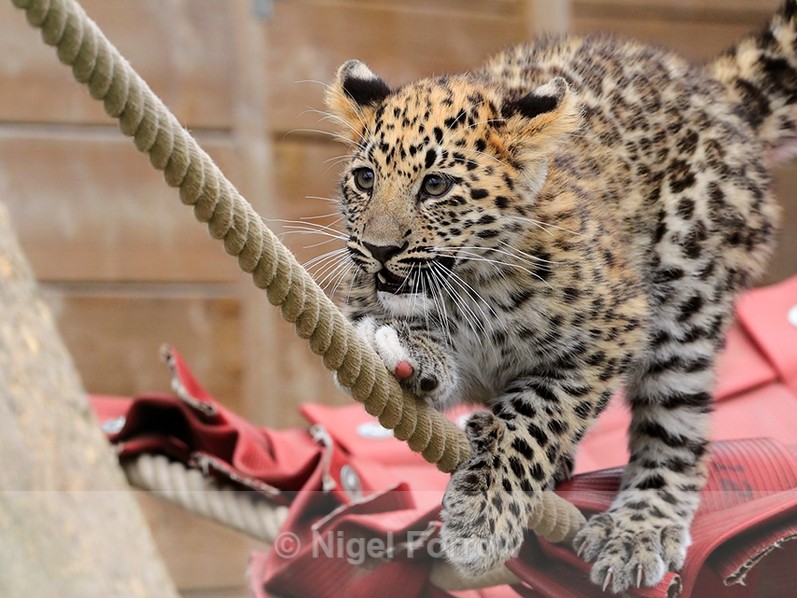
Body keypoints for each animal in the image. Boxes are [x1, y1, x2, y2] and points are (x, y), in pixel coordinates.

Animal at [318, 1, 797, 593]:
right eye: (365, 179)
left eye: (435, 186)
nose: (380, 250)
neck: (475, 286)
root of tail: (710, 86)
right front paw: (407, 349)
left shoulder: (612, 333)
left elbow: (536, 418)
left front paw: (483, 517)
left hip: (688, 308)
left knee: (678, 425)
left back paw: (640, 527)